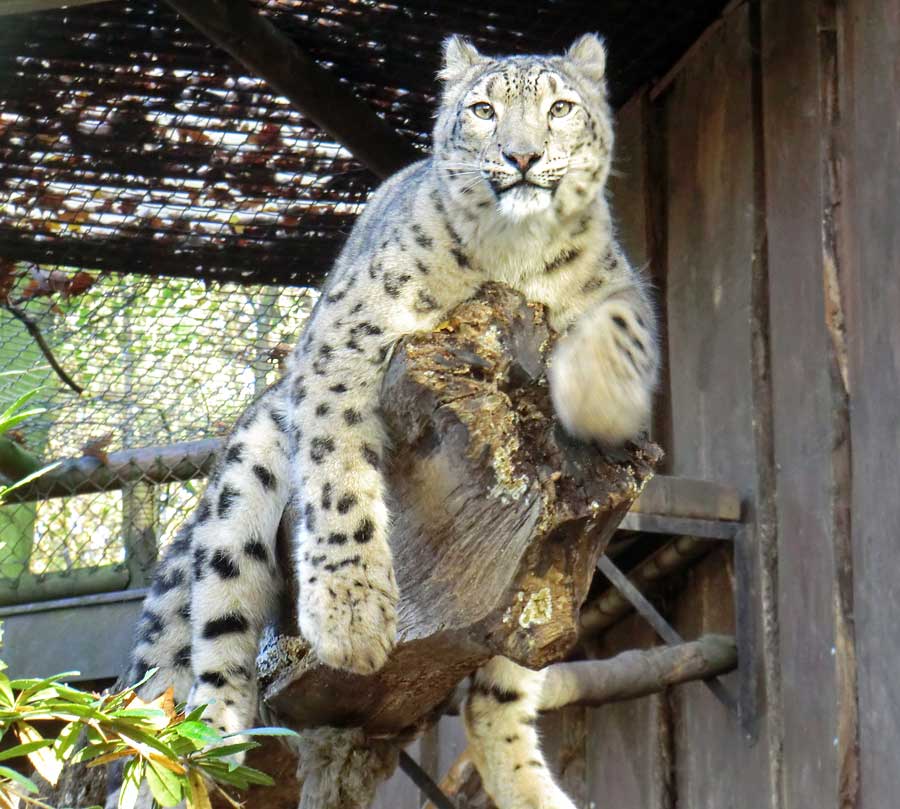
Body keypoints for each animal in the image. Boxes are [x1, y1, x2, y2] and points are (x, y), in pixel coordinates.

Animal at [119, 33, 656, 808]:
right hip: (243, 481)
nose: (522, 155)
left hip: (549, 570)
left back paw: (531, 787)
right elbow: (340, 475)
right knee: (215, 631)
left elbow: (625, 321)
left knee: (506, 675)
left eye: (560, 107)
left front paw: (600, 394)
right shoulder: (349, 335)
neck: (513, 262)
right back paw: (215, 743)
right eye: (484, 110)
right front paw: (352, 617)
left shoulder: (620, 285)